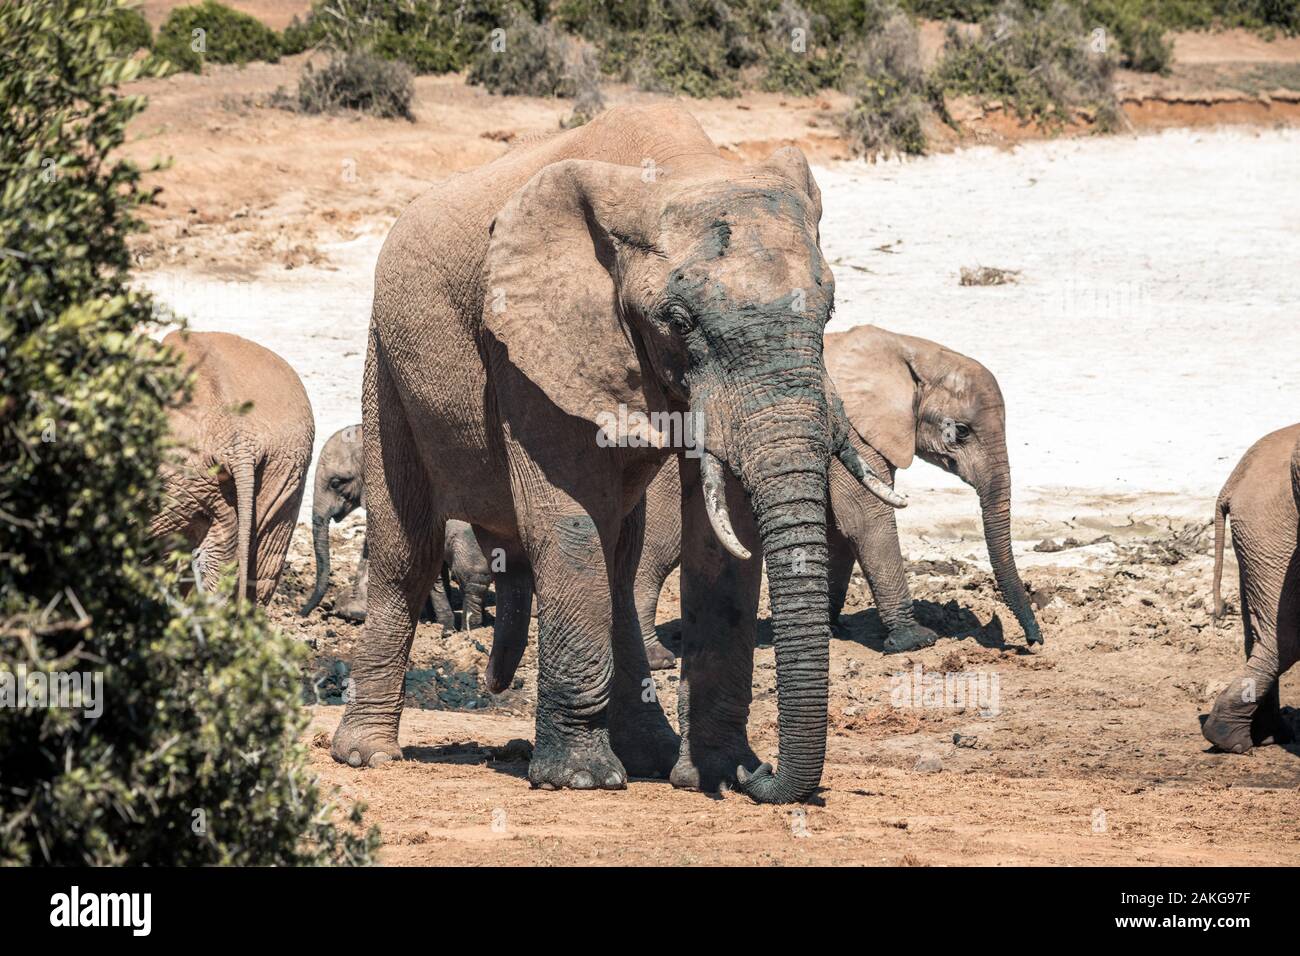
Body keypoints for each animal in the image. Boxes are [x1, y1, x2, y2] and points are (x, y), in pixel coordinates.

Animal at [329, 103, 902, 804]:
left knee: (620, 560)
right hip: (385, 364)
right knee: (403, 549)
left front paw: (715, 772)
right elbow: (568, 520)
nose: (763, 775)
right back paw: (367, 756)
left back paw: (651, 755)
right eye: (679, 322)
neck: (678, 169)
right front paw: (580, 781)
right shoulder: (528, 342)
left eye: (830, 309)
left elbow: (724, 538)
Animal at [632, 324, 1042, 668]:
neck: (911, 351)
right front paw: (917, 640)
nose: (1032, 643)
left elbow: (839, 530)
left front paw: (831, 627)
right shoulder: (855, 432)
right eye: (961, 431)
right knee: (658, 551)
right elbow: (866, 519)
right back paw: (656, 658)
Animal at [1204, 422, 1299, 753]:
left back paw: (1266, 737)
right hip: (1273, 530)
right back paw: (1232, 741)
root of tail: (1232, 483)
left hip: (1259, 534)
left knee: (1258, 634)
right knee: (1284, 637)